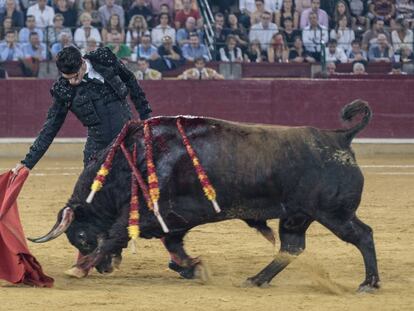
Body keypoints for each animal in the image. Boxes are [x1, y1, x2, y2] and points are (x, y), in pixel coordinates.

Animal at [30, 100, 380, 292]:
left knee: (363, 235)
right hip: (296, 217)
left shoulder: (154, 214)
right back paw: (256, 279)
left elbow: (116, 234)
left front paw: (79, 268)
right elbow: (174, 245)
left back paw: (369, 283)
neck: (132, 161)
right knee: (291, 248)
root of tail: (340, 137)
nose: (106, 269)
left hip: (334, 214)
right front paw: (195, 267)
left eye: (81, 236)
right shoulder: (172, 221)